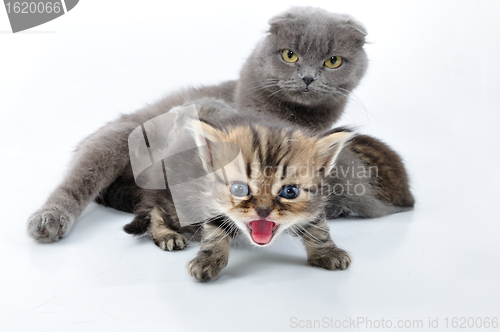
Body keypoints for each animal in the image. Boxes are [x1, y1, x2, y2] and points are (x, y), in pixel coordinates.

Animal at [25, 6, 412, 243]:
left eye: (333, 61)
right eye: (290, 55)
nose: (307, 78)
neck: (294, 115)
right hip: (116, 141)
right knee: (77, 183)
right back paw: (48, 220)